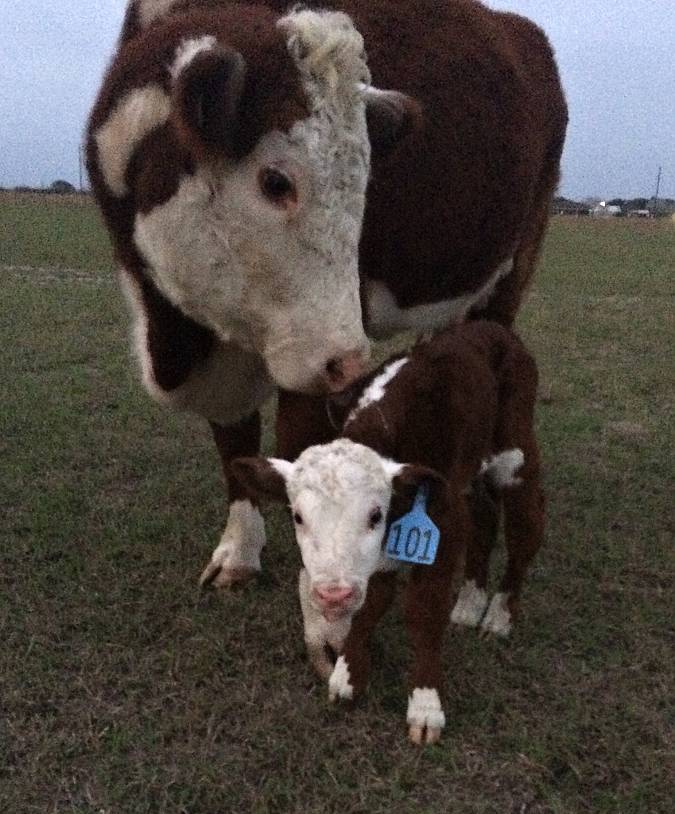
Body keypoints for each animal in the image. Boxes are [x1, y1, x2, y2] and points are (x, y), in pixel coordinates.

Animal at [86, 0, 572, 588]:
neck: (179, 341)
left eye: (365, 186)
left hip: (511, 272)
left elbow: (299, 439)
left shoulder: (326, 336)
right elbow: (235, 443)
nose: (350, 362)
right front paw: (239, 551)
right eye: (275, 181)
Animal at [230, 318, 548, 744]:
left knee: (523, 533)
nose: (332, 595)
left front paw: (426, 705)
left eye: (375, 515)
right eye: (297, 516)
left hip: (517, 456)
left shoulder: (441, 523)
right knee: (483, 518)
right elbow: (373, 600)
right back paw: (468, 603)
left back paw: (498, 615)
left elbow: (425, 609)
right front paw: (347, 676)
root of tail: (490, 326)